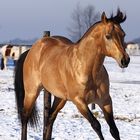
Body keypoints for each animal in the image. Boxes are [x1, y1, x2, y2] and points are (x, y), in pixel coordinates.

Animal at [14, 9, 130, 139]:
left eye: (123, 34)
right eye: (108, 36)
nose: (125, 60)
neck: (88, 70)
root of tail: (32, 50)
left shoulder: (105, 101)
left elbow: (114, 130)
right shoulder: (79, 102)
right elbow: (96, 125)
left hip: (60, 98)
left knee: (50, 118)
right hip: (32, 92)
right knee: (25, 116)